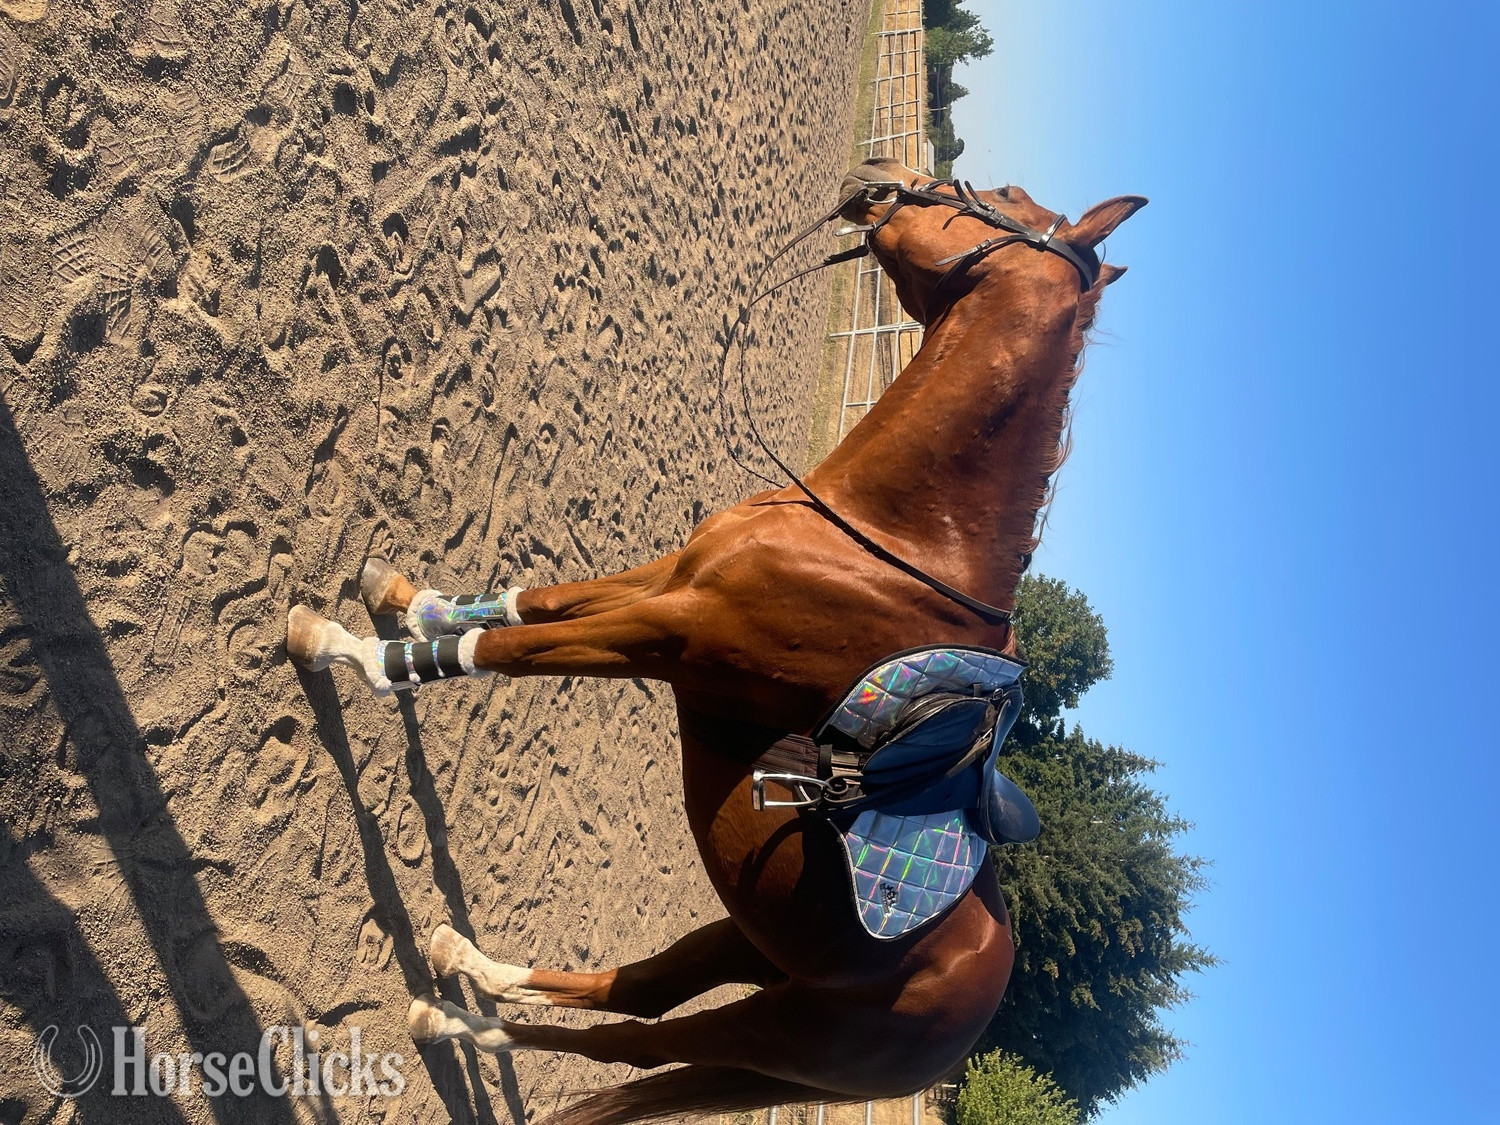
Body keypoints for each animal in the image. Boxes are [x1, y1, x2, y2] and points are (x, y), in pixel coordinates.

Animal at [286, 155, 1144, 1124]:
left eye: (993, 201)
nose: (882, 174)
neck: (890, 541)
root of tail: (962, 1033)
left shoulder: (668, 634)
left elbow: (502, 655)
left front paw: (343, 648)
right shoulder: (667, 582)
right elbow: (530, 603)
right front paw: (403, 598)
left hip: (771, 1031)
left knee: (635, 1041)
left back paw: (450, 1019)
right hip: (747, 941)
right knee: (637, 990)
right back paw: (467, 963)